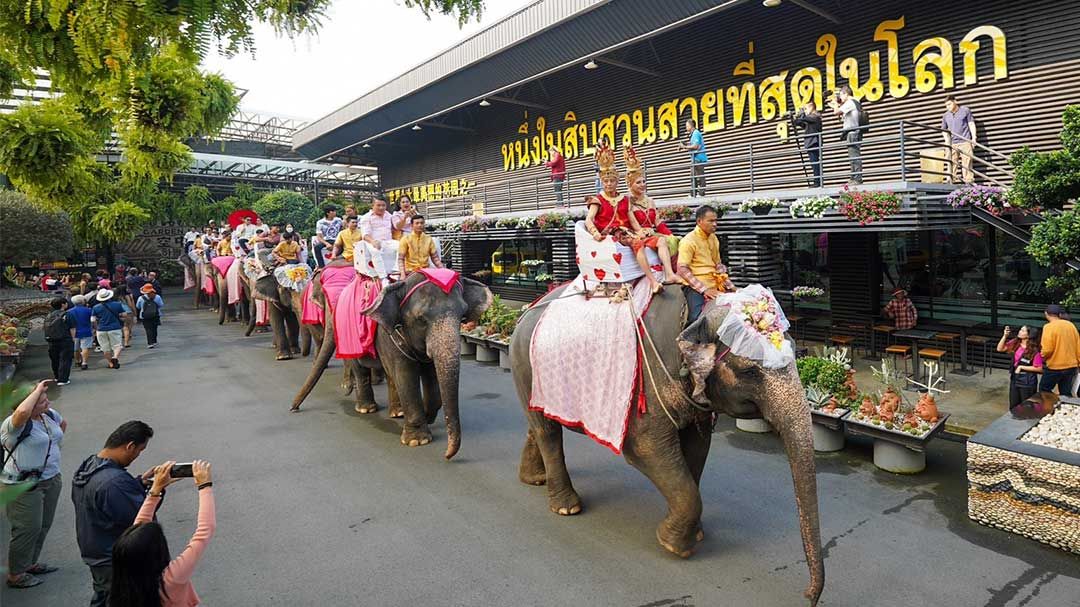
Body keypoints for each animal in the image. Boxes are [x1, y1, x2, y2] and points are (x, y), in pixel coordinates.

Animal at [295, 268, 496, 457]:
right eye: (421, 319)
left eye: (463, 316)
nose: (447, 455)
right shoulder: (387, 333)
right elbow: (405, 374)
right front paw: (417, 440)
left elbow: (430, 376)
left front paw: (427, 415)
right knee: (361, 369)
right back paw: (366, 409)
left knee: (389, 373)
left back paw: (398, 413)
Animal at [509, 285, 820, 604]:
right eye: (749, 371)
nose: (808, 596)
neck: (696, 313)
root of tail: (529, 310)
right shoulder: (647, 382)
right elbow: (645, 448)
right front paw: (674, 545)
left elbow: (697, 447)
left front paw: (694, 534)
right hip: (524, 363)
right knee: (548, 431)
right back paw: (567, 508)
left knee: (538, 422)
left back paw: (535, 478)